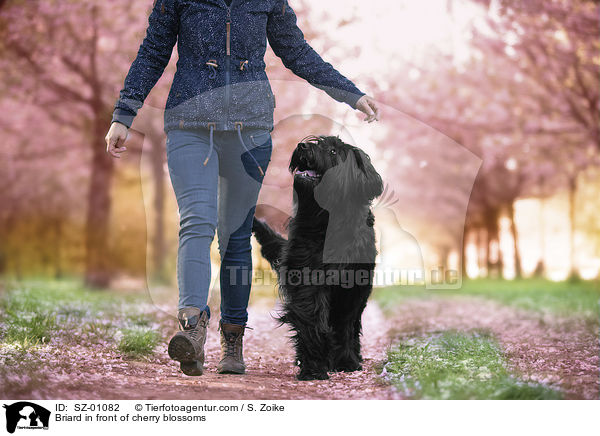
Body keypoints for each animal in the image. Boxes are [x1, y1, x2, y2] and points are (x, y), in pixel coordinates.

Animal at [251, 135, 382, 380]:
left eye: (333, 151)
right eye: (318, 141)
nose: (302, 146)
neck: (327, 220)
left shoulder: (352, 288)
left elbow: (344, 324)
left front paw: (346, 361)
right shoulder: (307, 277)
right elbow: (311, 318)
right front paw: (313, 367)